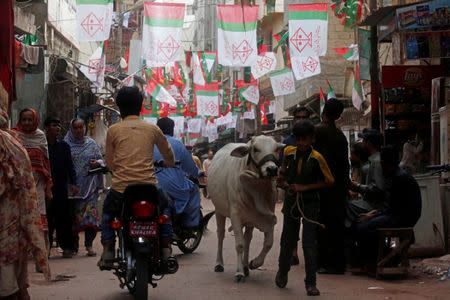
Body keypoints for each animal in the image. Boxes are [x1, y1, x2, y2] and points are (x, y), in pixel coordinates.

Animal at [208, 135, 284, 282]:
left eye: (276, 149)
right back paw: (219, 264)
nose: (272, 169)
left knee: (248, 239)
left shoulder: (267, 215)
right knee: (221, 235)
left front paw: (254, 263)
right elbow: (239, 244)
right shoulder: (235, 216)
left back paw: (246, 267)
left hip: (249, 221)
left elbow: (268, 243)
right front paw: (239, 273)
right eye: (255, 149)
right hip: (219, 211)